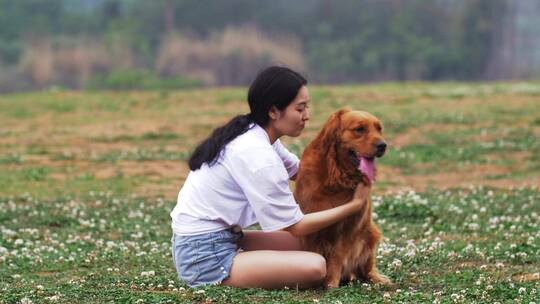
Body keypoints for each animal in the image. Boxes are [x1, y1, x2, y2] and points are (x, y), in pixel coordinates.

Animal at [294, 108, 390, 288]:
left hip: (370, 233)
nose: (382, 145)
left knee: (366, 268)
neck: (338, 175)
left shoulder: (351, 225)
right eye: (359, 129)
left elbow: (337, 255)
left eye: (379, 129)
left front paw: (331, 282)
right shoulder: (310, 222)